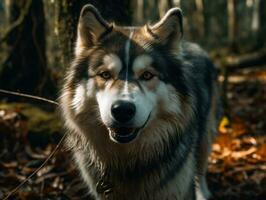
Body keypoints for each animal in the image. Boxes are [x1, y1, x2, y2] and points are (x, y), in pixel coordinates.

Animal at [60, 4, 220, 200]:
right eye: (105, 74)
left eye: (147, 75)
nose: (122, 110)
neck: (127, 163)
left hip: (205, 136)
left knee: (200, 168)